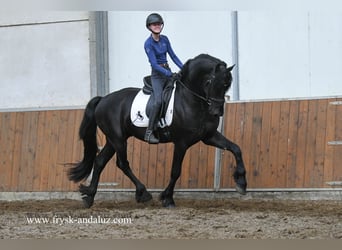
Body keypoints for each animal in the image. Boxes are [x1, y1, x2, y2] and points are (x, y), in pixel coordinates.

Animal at [68, 53, 247, 208]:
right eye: (210, 82)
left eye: (227, 84)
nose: (217, 111)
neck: (192, 100)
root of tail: (103, 99)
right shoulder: (181, 143)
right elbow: (175, 171)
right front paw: (167, 198)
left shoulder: (209, 136)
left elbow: (236, 148)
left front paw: (241, 183)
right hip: (118, 139)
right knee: (122, 163)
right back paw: (143, 193)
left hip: (113, 140)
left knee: (99, 162)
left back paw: (89, 197)